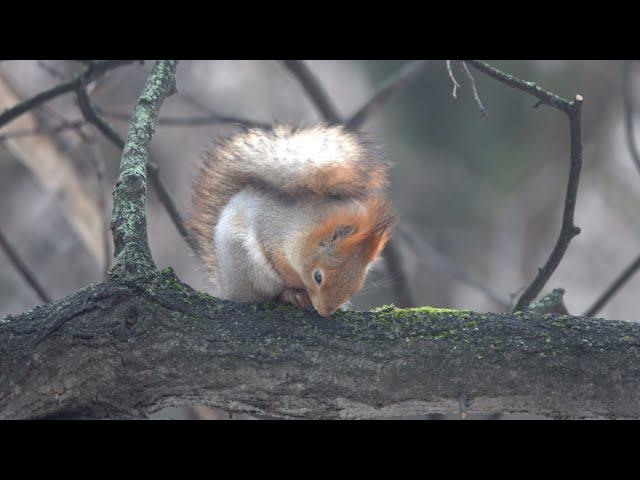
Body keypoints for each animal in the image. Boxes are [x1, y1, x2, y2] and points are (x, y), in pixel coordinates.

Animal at [186, 125, 396, 316]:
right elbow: (279, 264)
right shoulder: (271, 235)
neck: (304, 229)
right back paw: (290, 295)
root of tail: (228, 289)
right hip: (247, 268)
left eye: (357, 285)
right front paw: (297, 291)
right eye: (318, 277)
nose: (325, 312)